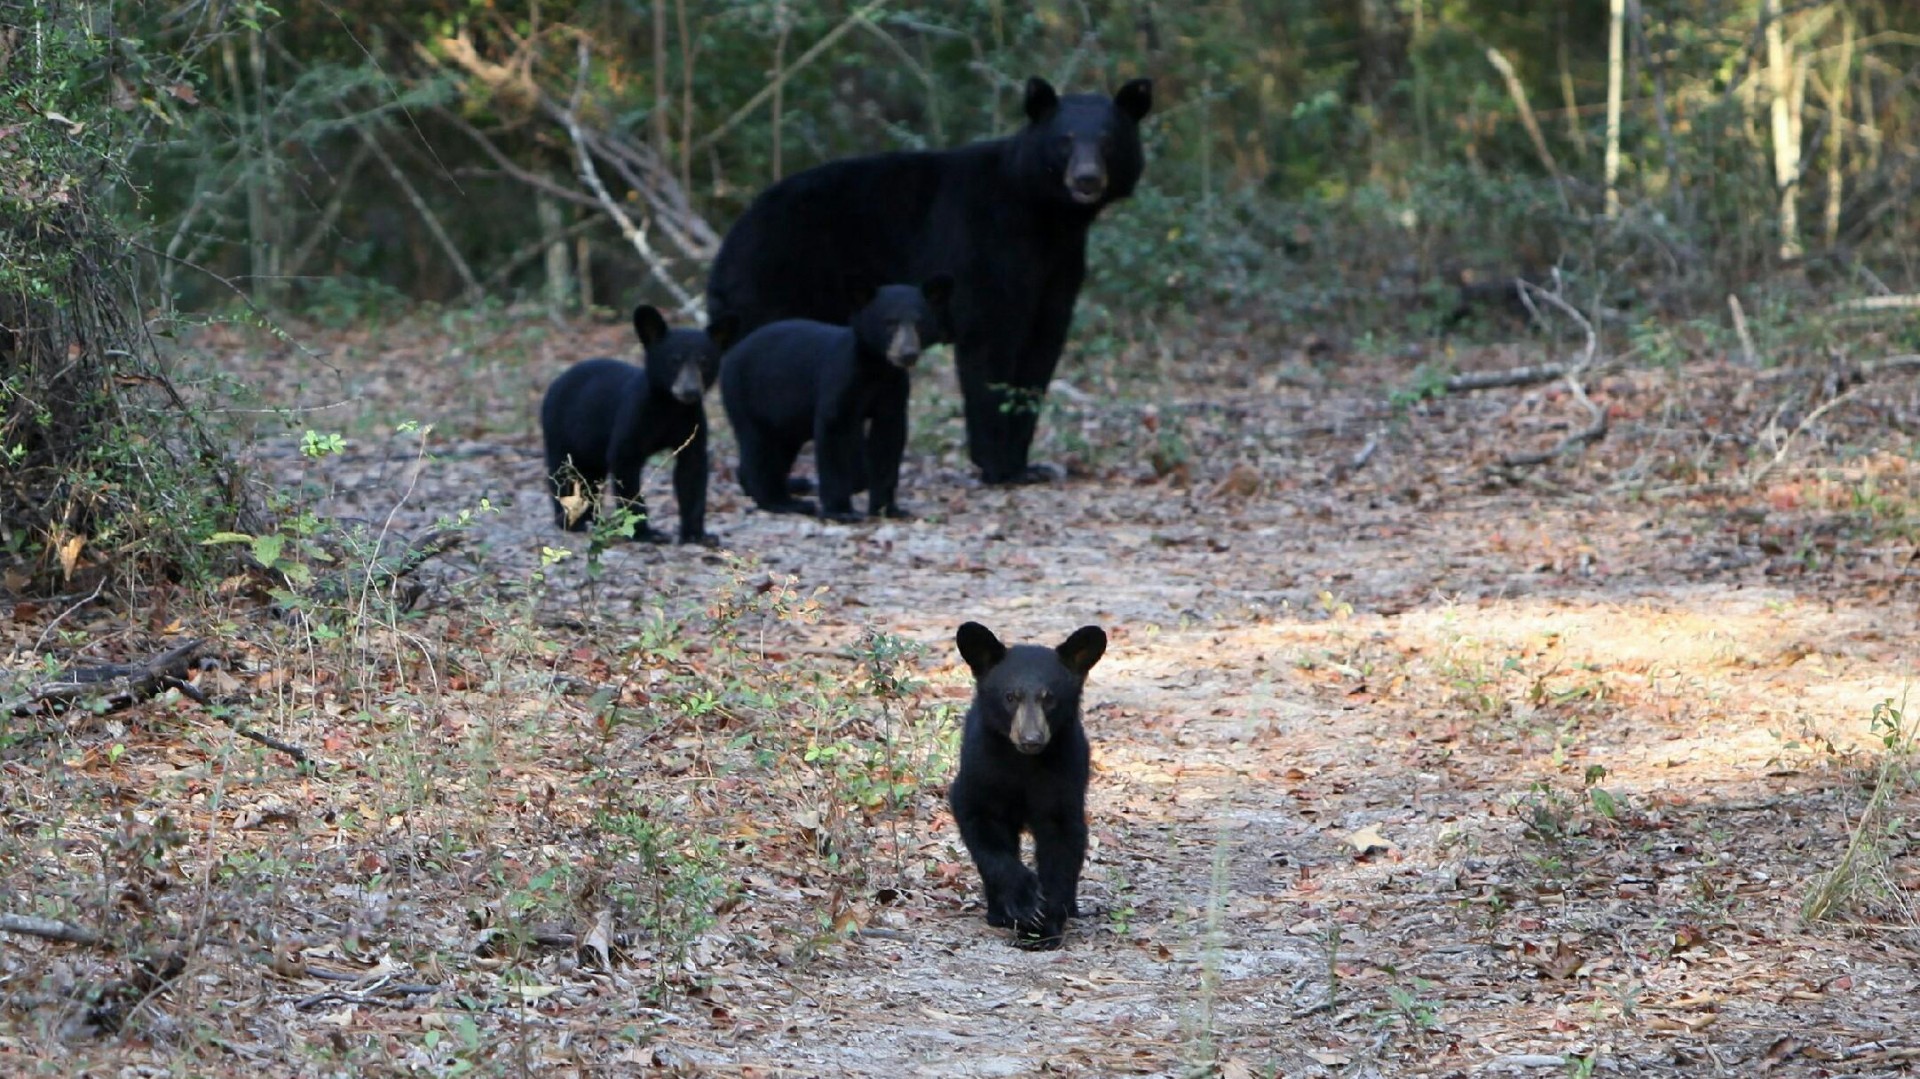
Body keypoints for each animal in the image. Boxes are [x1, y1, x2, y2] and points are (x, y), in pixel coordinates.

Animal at [539, 305, 735, 544]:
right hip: (559, 430)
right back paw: (571, 521)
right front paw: (646, 532)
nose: (690, 390)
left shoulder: (692, 424)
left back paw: (591, 518)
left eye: (704, 361)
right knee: (562, 473)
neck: (670, 407)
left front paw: (697, 535)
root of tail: (557, 380)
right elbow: (626, 465)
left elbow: (692, 473)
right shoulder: (634, 417)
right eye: (674, 360)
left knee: (590, 478)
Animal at [706, 76, 1152, 486]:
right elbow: (989, 349)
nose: (1087, 178)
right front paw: (998, 467)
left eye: (1108, 140)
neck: (1047, 218)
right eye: (1065, 140)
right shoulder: (985, 249)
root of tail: (729, 244)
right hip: (777, 286)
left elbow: (1039, 356)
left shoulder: (1058, 271)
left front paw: (1027, 466)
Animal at [719, 277, 952, 522]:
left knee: (780, 448)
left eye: (919, 322)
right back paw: (783, 502)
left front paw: (889, 509)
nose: (907, 354)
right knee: (758, 446)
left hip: (784, 417)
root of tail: (732, 352)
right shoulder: (840, 379)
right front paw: (842, 511)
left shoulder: (893, 391)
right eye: (889, 322)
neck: (877, 368)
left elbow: (888, 440)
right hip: (746, 395)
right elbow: (834, 433)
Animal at [948, 620, 1108, 949]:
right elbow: (983, 828)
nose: (1031, 739)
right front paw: (1025, 901)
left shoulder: (1064, 774)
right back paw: (999, 912)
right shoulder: (981, 770)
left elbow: (1062, 843)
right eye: (1010, 696)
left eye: (1049, 698)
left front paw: (1043, 929)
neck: (1022, 762)